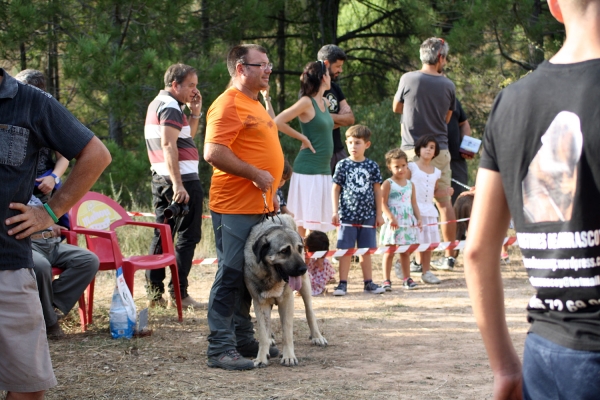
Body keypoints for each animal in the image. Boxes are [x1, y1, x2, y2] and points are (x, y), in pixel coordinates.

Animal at [244, 214, 328, 368]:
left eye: (299, 248)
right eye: (284, 251)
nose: (303, 269)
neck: (271, 276)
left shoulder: (287, 302)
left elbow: (287, 333)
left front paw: (288, 356)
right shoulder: (260, 303)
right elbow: (263, 333)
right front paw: (261, 357)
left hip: (305, 286)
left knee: (309, 311)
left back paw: (317, 336)